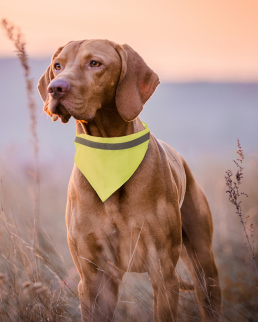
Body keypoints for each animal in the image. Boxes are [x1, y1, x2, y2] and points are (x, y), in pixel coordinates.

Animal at [38, 40, 222, 322]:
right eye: (57, 65)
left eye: (95, 63)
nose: (55, 88)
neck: (108, 157)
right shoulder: (93, 279)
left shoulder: (163, 273)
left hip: (204, 264)